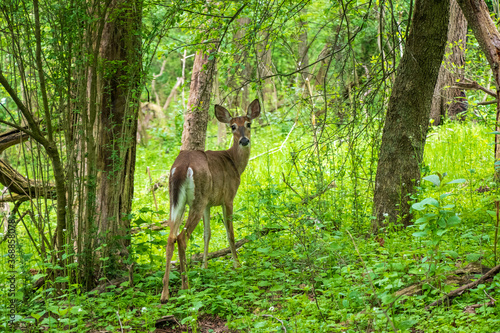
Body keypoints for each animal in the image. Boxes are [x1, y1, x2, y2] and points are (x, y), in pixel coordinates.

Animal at [160, 98, 262, 300]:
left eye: (248, 123)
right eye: (232, 126)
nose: (244, 140)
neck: (234, 163)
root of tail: (181, 167)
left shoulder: (209, 203)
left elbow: (207, 234)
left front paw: (204, 267)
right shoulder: (228, 197)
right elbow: (230, 232)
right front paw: (237, 264)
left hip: (177, 201)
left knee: (170, 237)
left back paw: (165, 294)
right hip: (197, 200)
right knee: (182, 237)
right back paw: (185, 286)